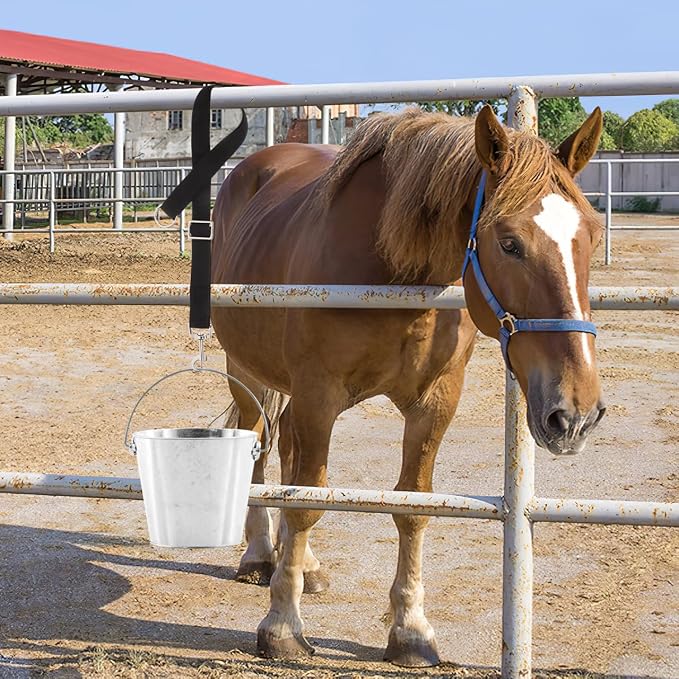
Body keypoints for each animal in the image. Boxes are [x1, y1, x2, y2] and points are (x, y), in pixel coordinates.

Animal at [210, 105, 605, 667]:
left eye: (592, 235)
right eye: (509, 243)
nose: (575, 413)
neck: (391, 268)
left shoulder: (434, 403)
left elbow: (413, 507)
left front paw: (411, 630)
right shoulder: (318, 396)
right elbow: (307, 501)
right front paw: (282, 624)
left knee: (284, 451)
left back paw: (304, 565)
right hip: (248, 372)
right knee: (260, 449)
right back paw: (262, 555)